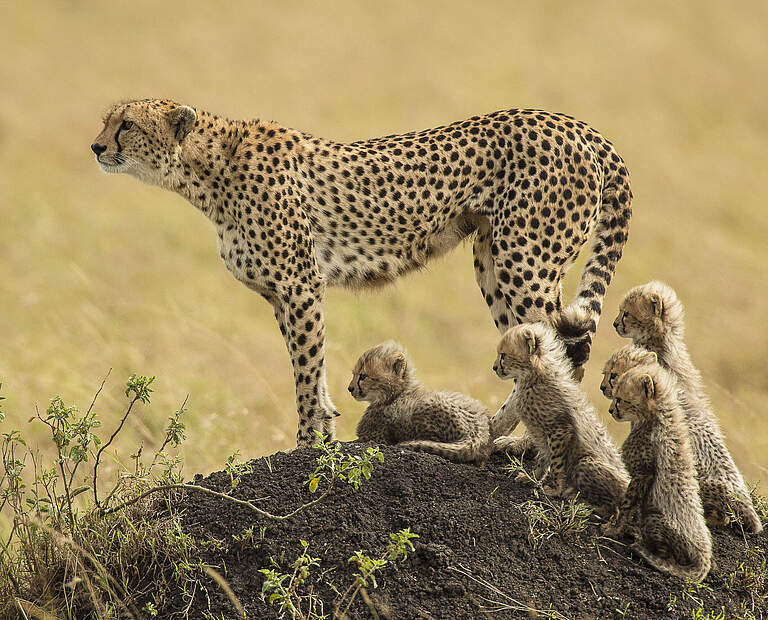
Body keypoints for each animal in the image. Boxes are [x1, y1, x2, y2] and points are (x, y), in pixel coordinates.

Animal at [91, 100, 632, 446]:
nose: (96, 147)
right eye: (107, 121)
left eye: (126, 125)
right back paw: (494, 432)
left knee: (560, 352)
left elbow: (306, 368)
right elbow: (311, 369)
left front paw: (309, 443)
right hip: (492, 262)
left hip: (525, 260)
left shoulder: (300, 285)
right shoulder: (282, 294)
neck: (207, 171)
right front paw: (326, 428)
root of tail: (578, 125)